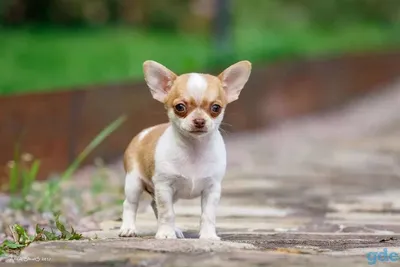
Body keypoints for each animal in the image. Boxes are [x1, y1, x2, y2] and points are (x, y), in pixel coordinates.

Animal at [118, 60, 253, 241]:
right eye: (180, 107)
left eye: (216, 108)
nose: (199, 120)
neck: (194, 149)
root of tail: (143, 133)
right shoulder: (164, 187)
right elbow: (167, 213)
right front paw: (165, 234)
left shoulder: (212, 189)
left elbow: (208, 215)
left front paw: (208, 235)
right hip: (134, 183)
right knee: (130, 205)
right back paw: (128, 228)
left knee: (154, 204)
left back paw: (174, 230)